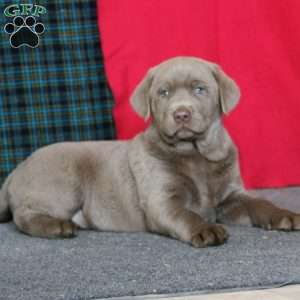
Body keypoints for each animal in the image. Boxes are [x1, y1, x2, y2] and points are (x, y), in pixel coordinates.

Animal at [0, 56, 300, 246]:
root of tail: (18, 167)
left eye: (199, 89)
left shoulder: (232, 196)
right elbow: (185, 214)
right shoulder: (162, 201)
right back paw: (57, 227)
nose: (181, 114)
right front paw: (205, 229)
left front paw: (283, 215)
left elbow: (259, 203)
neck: (195, 153)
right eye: (163, 92)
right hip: (63, 184)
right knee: (22, 215)